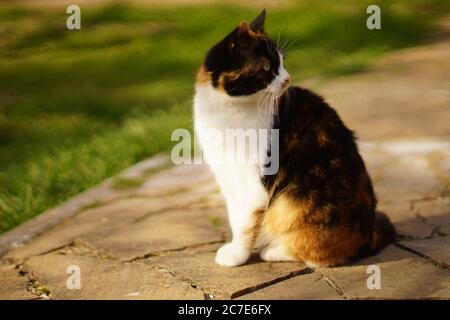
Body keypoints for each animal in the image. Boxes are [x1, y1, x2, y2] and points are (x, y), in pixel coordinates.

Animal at [192, 10, 396, 268]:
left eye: (282, 62)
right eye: (266, 67)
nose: (288, 79)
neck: (227, 110)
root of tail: (368, 237)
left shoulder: (253, 185)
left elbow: (244, 223)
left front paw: (236, 255)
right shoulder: (226, 176)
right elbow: (233, 215)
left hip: (291, 202)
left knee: (318, 254)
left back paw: (273, 251)